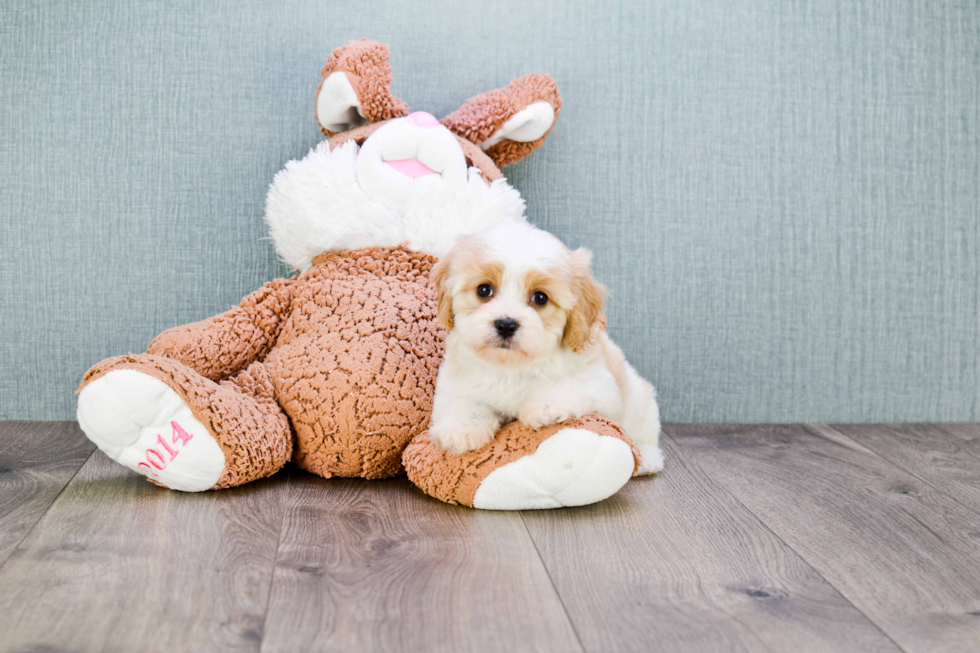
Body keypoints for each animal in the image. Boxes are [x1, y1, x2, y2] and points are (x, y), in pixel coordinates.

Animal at [428, 219, 668, 474]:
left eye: (540, 298)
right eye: (484, 290)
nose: (506, 324)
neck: (511, 367)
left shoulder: (600, 385)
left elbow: (569, 386)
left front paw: (546, 407)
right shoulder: (457, 383)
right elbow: (462, 402)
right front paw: (460, 430)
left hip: (639, 400)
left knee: (644, 432)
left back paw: (648, 459)